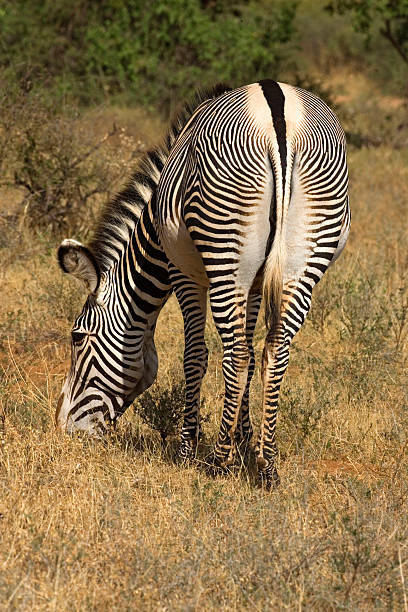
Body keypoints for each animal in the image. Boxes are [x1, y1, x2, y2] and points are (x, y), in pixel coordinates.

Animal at [57, 80, 350, 488]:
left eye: (77, 337)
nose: (63, 429)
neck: (152, 234)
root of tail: (279, 115)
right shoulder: (254, 284)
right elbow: (251, 352)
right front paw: (246, 443)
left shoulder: (183, 273)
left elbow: (195, 355)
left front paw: (188, 450)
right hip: (303, 259)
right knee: (273, 353)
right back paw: (268, 465)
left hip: (225, 247)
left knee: (235, 354)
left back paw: (217, 462)